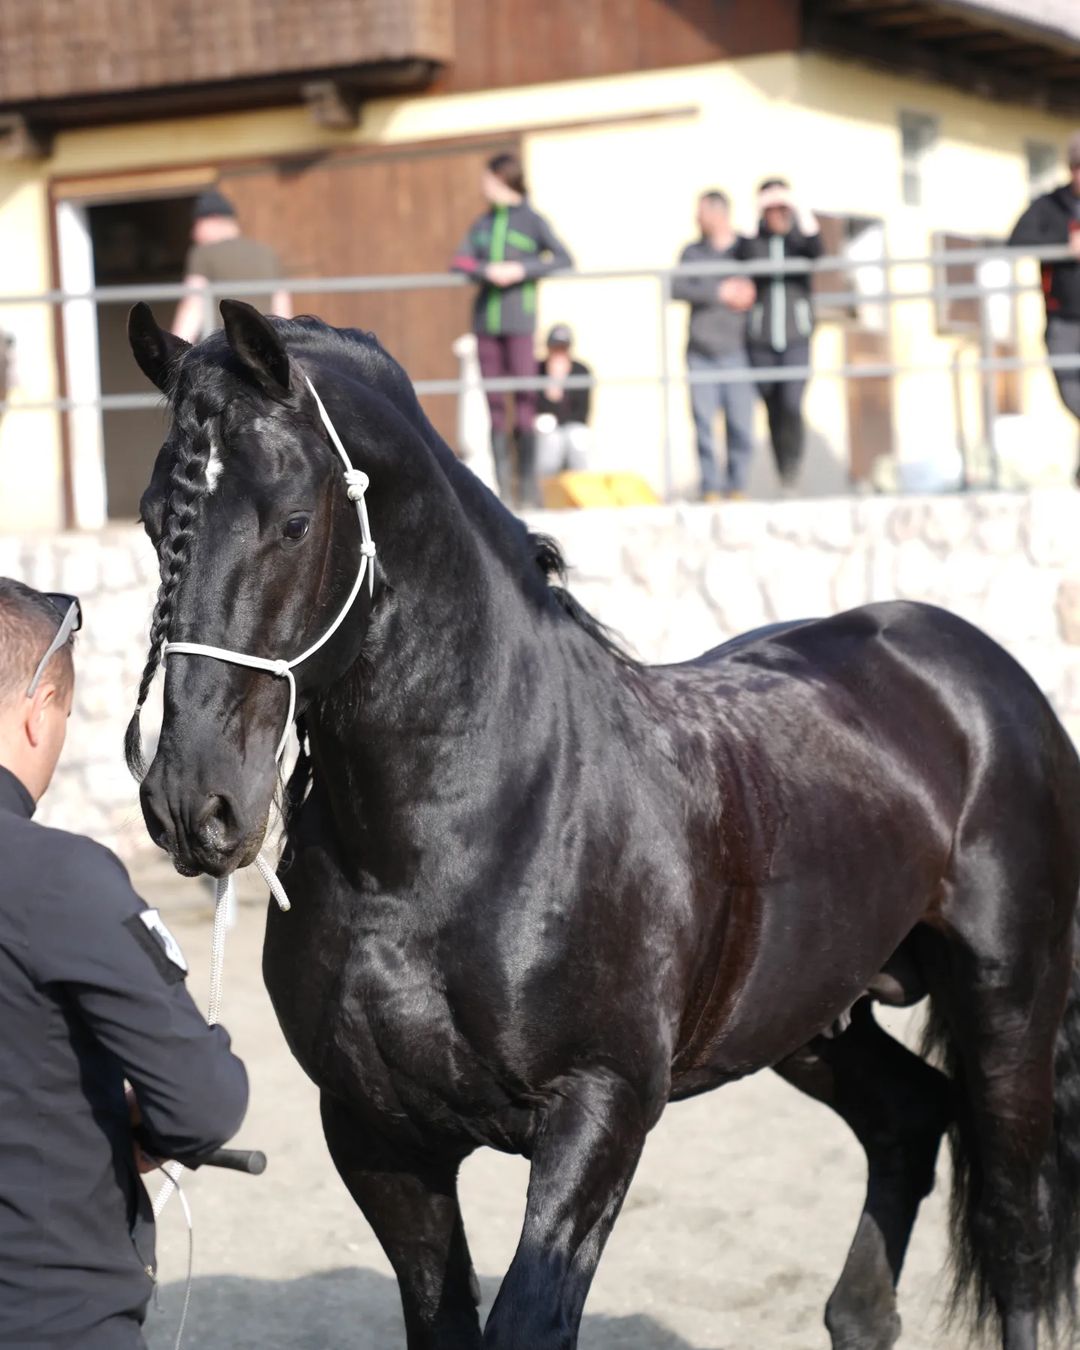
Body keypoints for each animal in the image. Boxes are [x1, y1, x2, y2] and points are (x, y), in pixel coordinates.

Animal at [124, 303, 1080, 1350]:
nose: (192, 801)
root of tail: (967, 662)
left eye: (294, 522)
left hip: (1007, 1003)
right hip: (814, 1018)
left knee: (1017, 1228)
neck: (455, 840)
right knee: (909, 1122)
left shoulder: (599, 1114)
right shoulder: (379, 1137)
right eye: (150, 522)